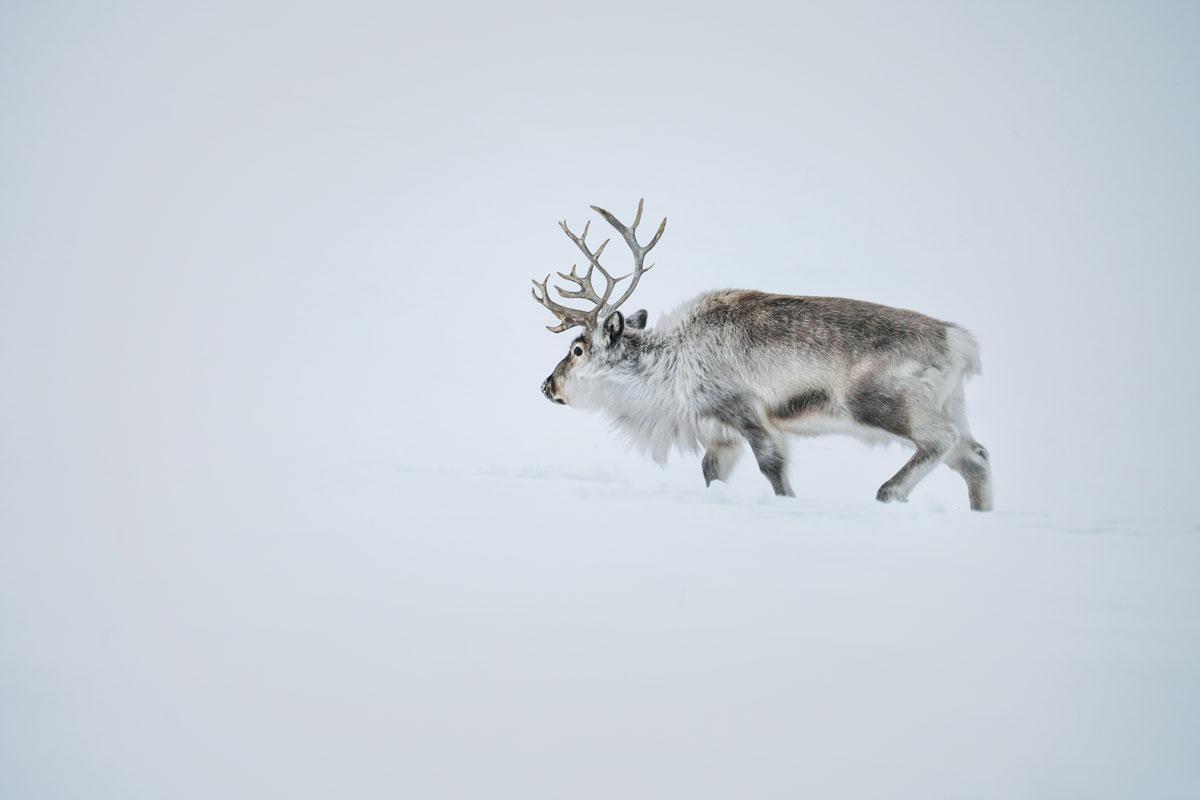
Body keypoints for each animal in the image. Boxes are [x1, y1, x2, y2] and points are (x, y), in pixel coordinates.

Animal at [532, 199, 993, 511]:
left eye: (576, 350)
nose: (546, 385)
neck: (670, 371)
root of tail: (958, 343)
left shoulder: (747, 413)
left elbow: (773, 469)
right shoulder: (719, 433)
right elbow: (711, 475)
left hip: (885, 403)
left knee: (942, 443)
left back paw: (889, 493)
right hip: (950, 405)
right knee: (977, 457)